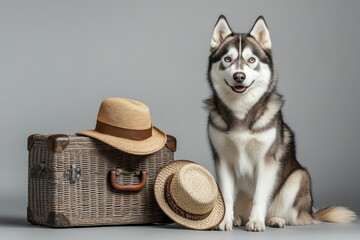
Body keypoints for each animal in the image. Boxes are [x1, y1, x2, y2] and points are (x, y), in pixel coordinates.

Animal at [205, 15, 358, 232]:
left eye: (251, 60)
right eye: (227, 59)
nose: (239, 76)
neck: (242, 113)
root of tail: (310, 212)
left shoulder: (267, 160)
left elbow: (260, 195)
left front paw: (256, 222)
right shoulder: (223, 159)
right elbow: (226, 196)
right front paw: (225, 220)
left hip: (299, 177)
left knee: (291, 215)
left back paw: (274, 219)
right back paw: (237, 218)